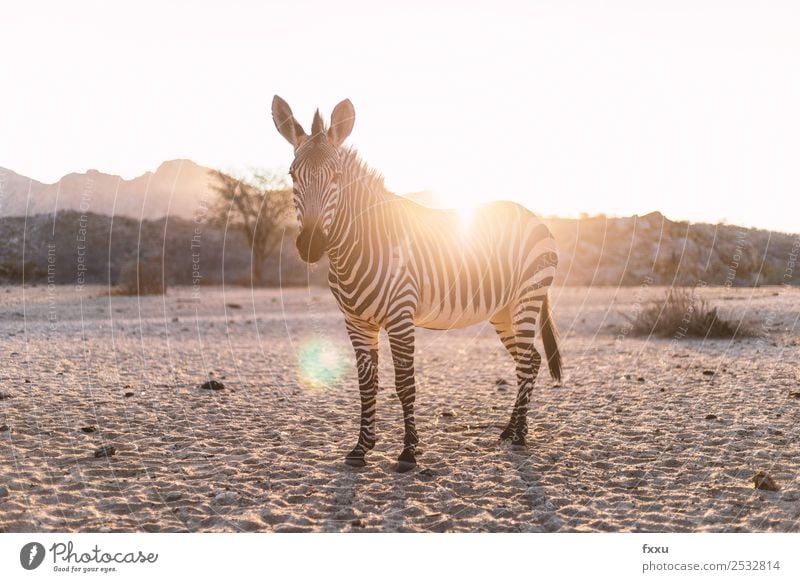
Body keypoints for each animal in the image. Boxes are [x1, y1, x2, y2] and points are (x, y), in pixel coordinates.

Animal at [272, 96, 560, 474]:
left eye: (336, 177)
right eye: (293, 175)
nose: (310, 246)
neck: (356, 246)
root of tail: (533, 215)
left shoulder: (400, 316)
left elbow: (404, 384)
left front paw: (408, 452)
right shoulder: (356, 322)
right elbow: (367, 386)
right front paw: (361, 448)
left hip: (528, 295)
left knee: (527, 363)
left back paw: (520, 437)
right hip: (503, 310)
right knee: (532, 361)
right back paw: (511, 430)